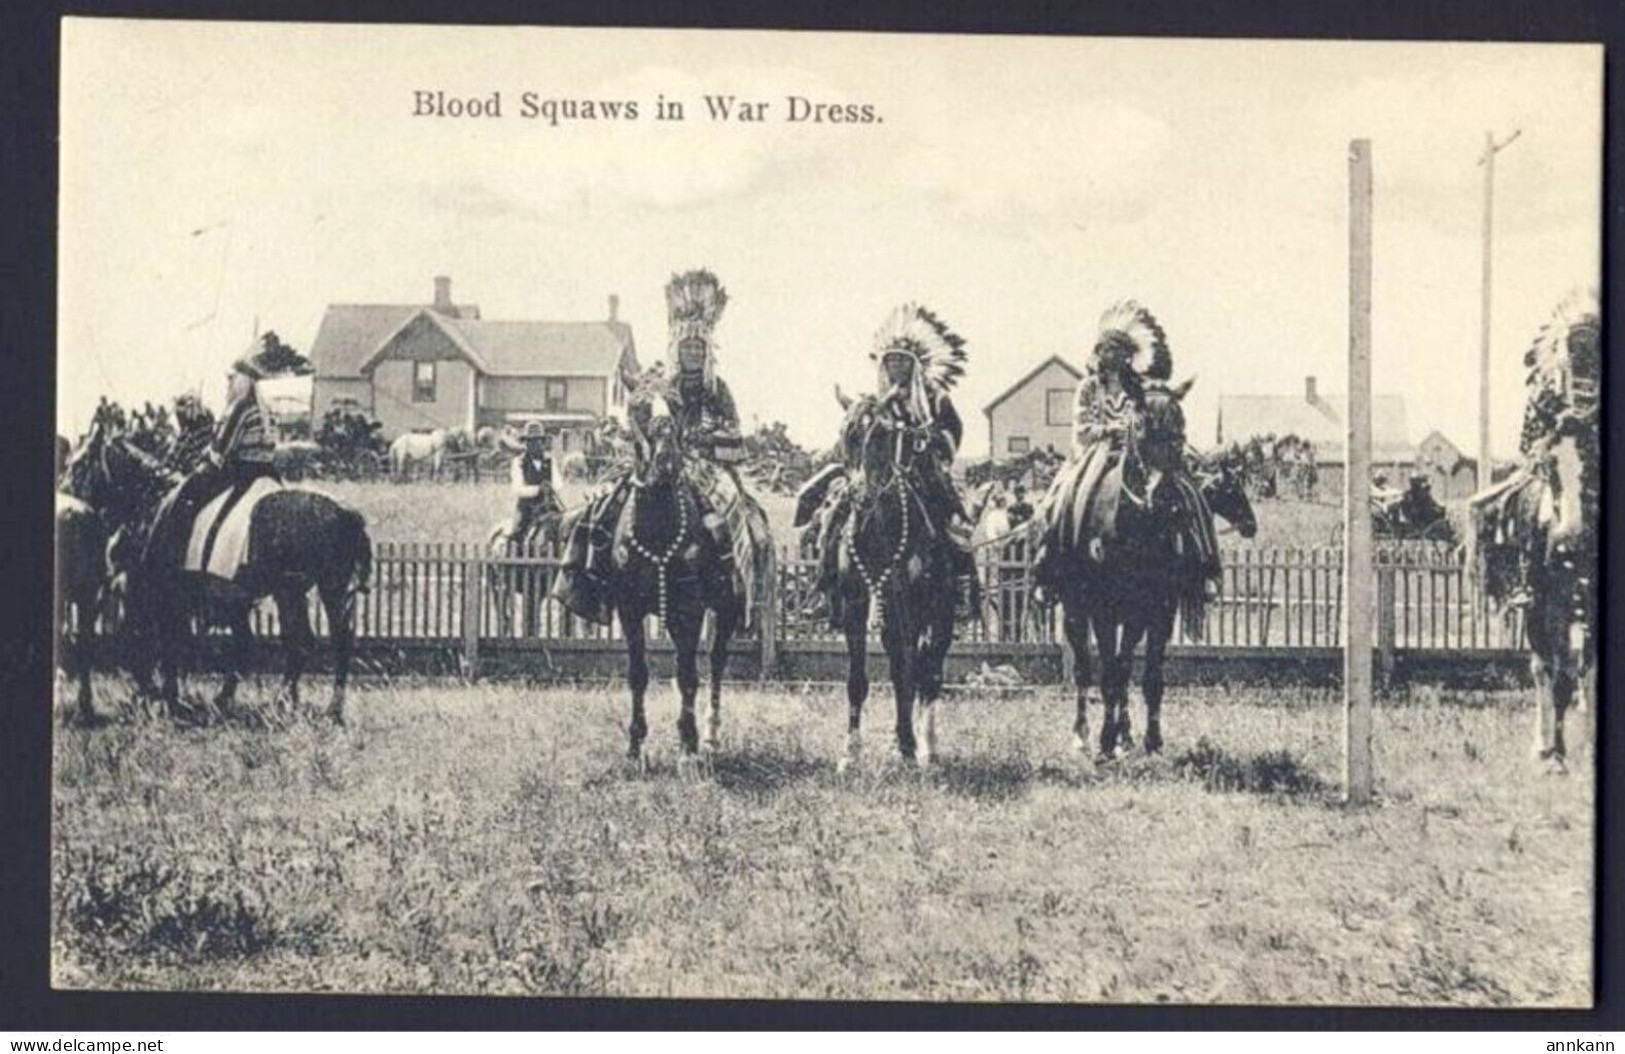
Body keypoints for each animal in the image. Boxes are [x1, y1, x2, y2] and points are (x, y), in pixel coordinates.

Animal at [69, 422, 372, 724]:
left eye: (78, 464)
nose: (71, 505)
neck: (152, 501)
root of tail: (344, 512)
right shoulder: (225, 599)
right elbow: (234, 644)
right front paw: (210, 698)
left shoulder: (161, 593)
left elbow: (162, 642)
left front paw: (165, 697)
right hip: (314, 590)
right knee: (323, 641)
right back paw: (307, 706)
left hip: (300, 591)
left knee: (312, 643)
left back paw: (301, 705)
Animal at [607, 381, 744, 760]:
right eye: (637, 406)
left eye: (676, 405)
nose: (666, 459)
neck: (658, 530)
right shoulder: (629, 610)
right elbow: (638, 673)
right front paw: (635, 743)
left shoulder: (690, 609)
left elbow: (688, 674)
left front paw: (688, 743)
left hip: (726, 610)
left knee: (715, 662)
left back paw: (710, 735)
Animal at [832, 386, 955, 763]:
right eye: (845, 435)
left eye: (882, 436)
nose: (859, 494)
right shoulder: (854, 607)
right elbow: (858, 679)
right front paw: (851, 751)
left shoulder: (911, 610)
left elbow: (909, 675)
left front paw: (908, 745)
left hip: (940, 616)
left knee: (929, 674)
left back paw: (926, 744)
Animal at [1053, 381, 1241, 760]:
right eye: (1138, 426)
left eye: (1181, 426)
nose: (1167, 495)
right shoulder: (1103, 610)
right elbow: (1109, 673)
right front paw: (1105, 741)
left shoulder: (1157, 610)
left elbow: (1147, 675)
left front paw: (1150, 739)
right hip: (1076, 611)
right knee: (1083, 670)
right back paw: (1083, 735)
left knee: (1123, 668)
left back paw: (1124, 736)